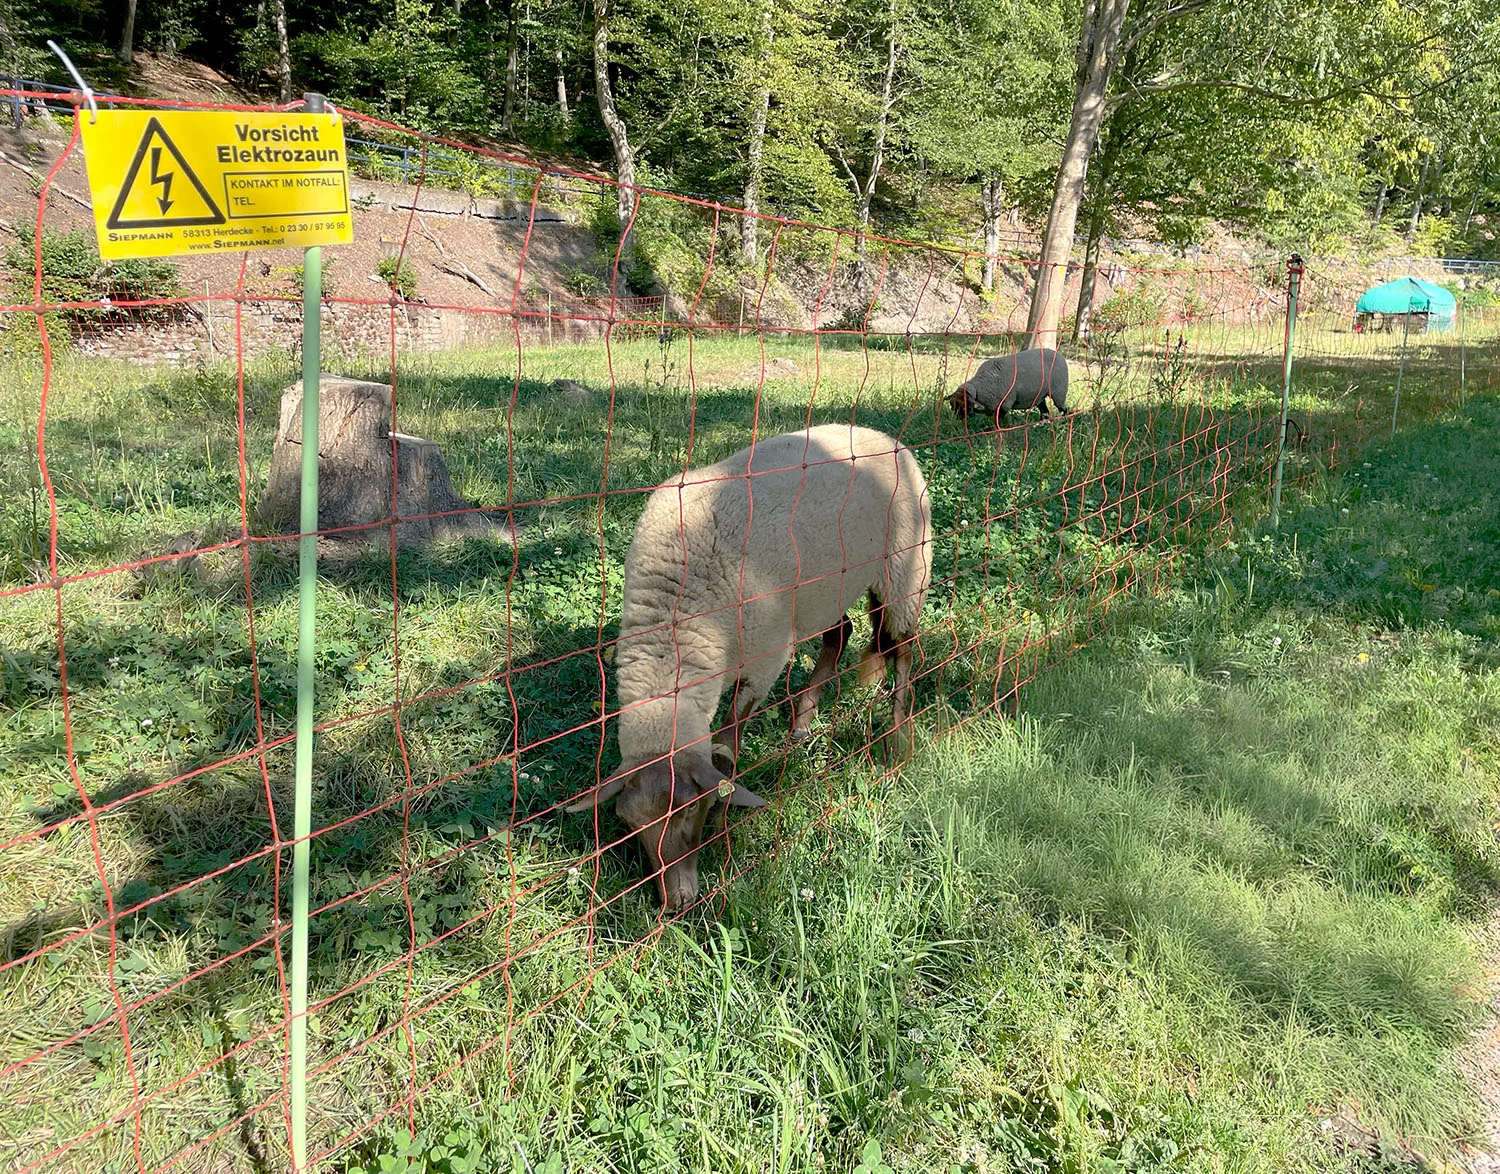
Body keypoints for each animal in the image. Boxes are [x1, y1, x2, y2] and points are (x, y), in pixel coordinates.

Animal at [566, 423, 933, 909]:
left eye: (693, 809)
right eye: (628, 822)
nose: (677, 902)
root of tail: (879, 434)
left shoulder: (764, 657)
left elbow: (729, 733)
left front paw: (728, 803)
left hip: (905, 572)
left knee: (903, 651)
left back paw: (897, 739)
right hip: (824, 588)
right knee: (841, 633)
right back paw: (803, 725)